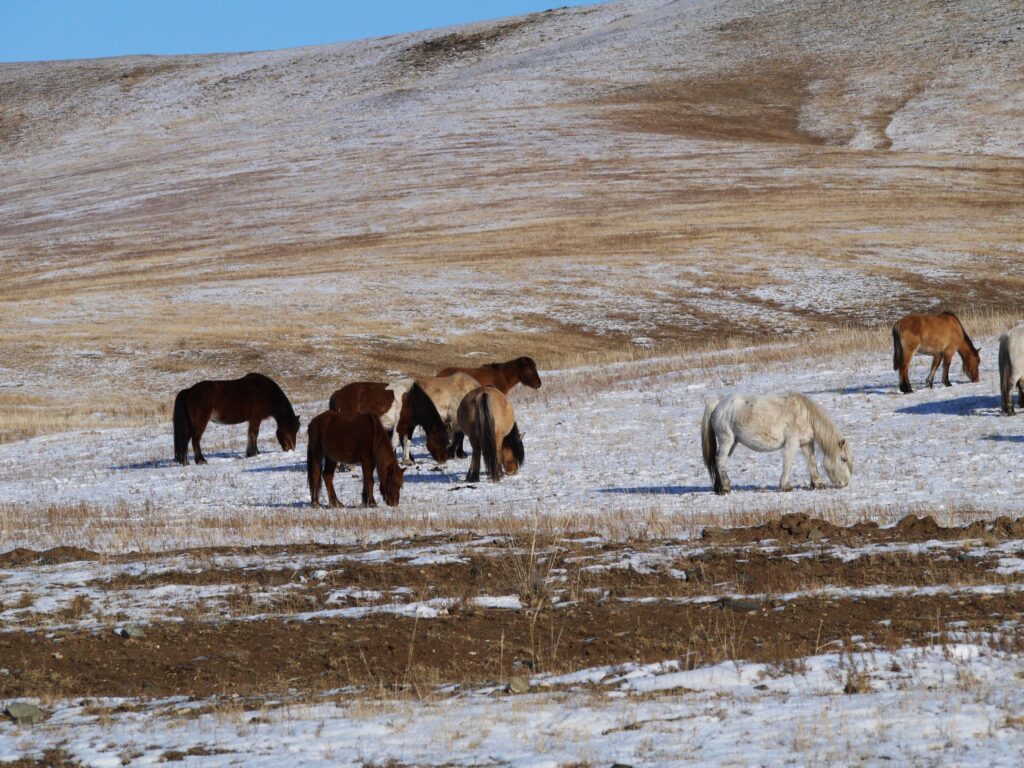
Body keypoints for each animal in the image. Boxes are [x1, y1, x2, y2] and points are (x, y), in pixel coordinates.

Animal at [700, 393, 851, 495]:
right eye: (843, 459)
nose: (845, 483)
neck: (803, 415)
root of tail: (718, 404)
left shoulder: (806, 443)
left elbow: (812, 463)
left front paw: (818, 484)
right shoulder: (792, 443)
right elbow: (788, 463)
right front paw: (786, 486)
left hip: (732, 443)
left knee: (718, 461)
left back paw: (719, 488)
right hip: (726, 440)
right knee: (720, 460)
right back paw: (725, 487)